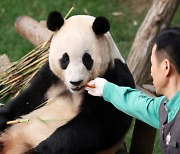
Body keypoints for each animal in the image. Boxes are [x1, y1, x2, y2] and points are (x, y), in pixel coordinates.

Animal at [0, 11, 135, 153]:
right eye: (65, 59)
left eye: (87, 59)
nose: (76, 82)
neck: (75, 92)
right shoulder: (50, 76)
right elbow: (29, 96)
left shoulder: (115, 77)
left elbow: (99, 124)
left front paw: (40, 149)